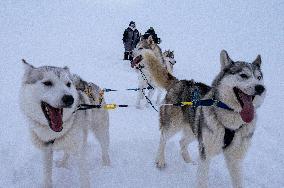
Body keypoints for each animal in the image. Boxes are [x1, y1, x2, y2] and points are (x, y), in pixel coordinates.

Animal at [19, 60, 110, 188]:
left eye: (68, 84)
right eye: (47, 83)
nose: (69, 98)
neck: (53, 133)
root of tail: (89, 84)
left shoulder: (80, 152)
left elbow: (84, 178)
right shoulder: (46, 150)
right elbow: (47, 176)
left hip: (101, 131)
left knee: (105, 149)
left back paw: (107, 166)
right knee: (67, 152)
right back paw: (62, 164)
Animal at [142, 50, 266, 188]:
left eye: (259, 77)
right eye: (244, 75)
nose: (260, 88)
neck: (231, 124)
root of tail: (180, 82)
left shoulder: (235, 159)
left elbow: (238, 182)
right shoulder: (206, 153)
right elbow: (202, 180)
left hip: (195, 130)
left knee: (182, 142)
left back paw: (188, 161)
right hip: (173, 126)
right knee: (163, 138)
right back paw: (160, 160)